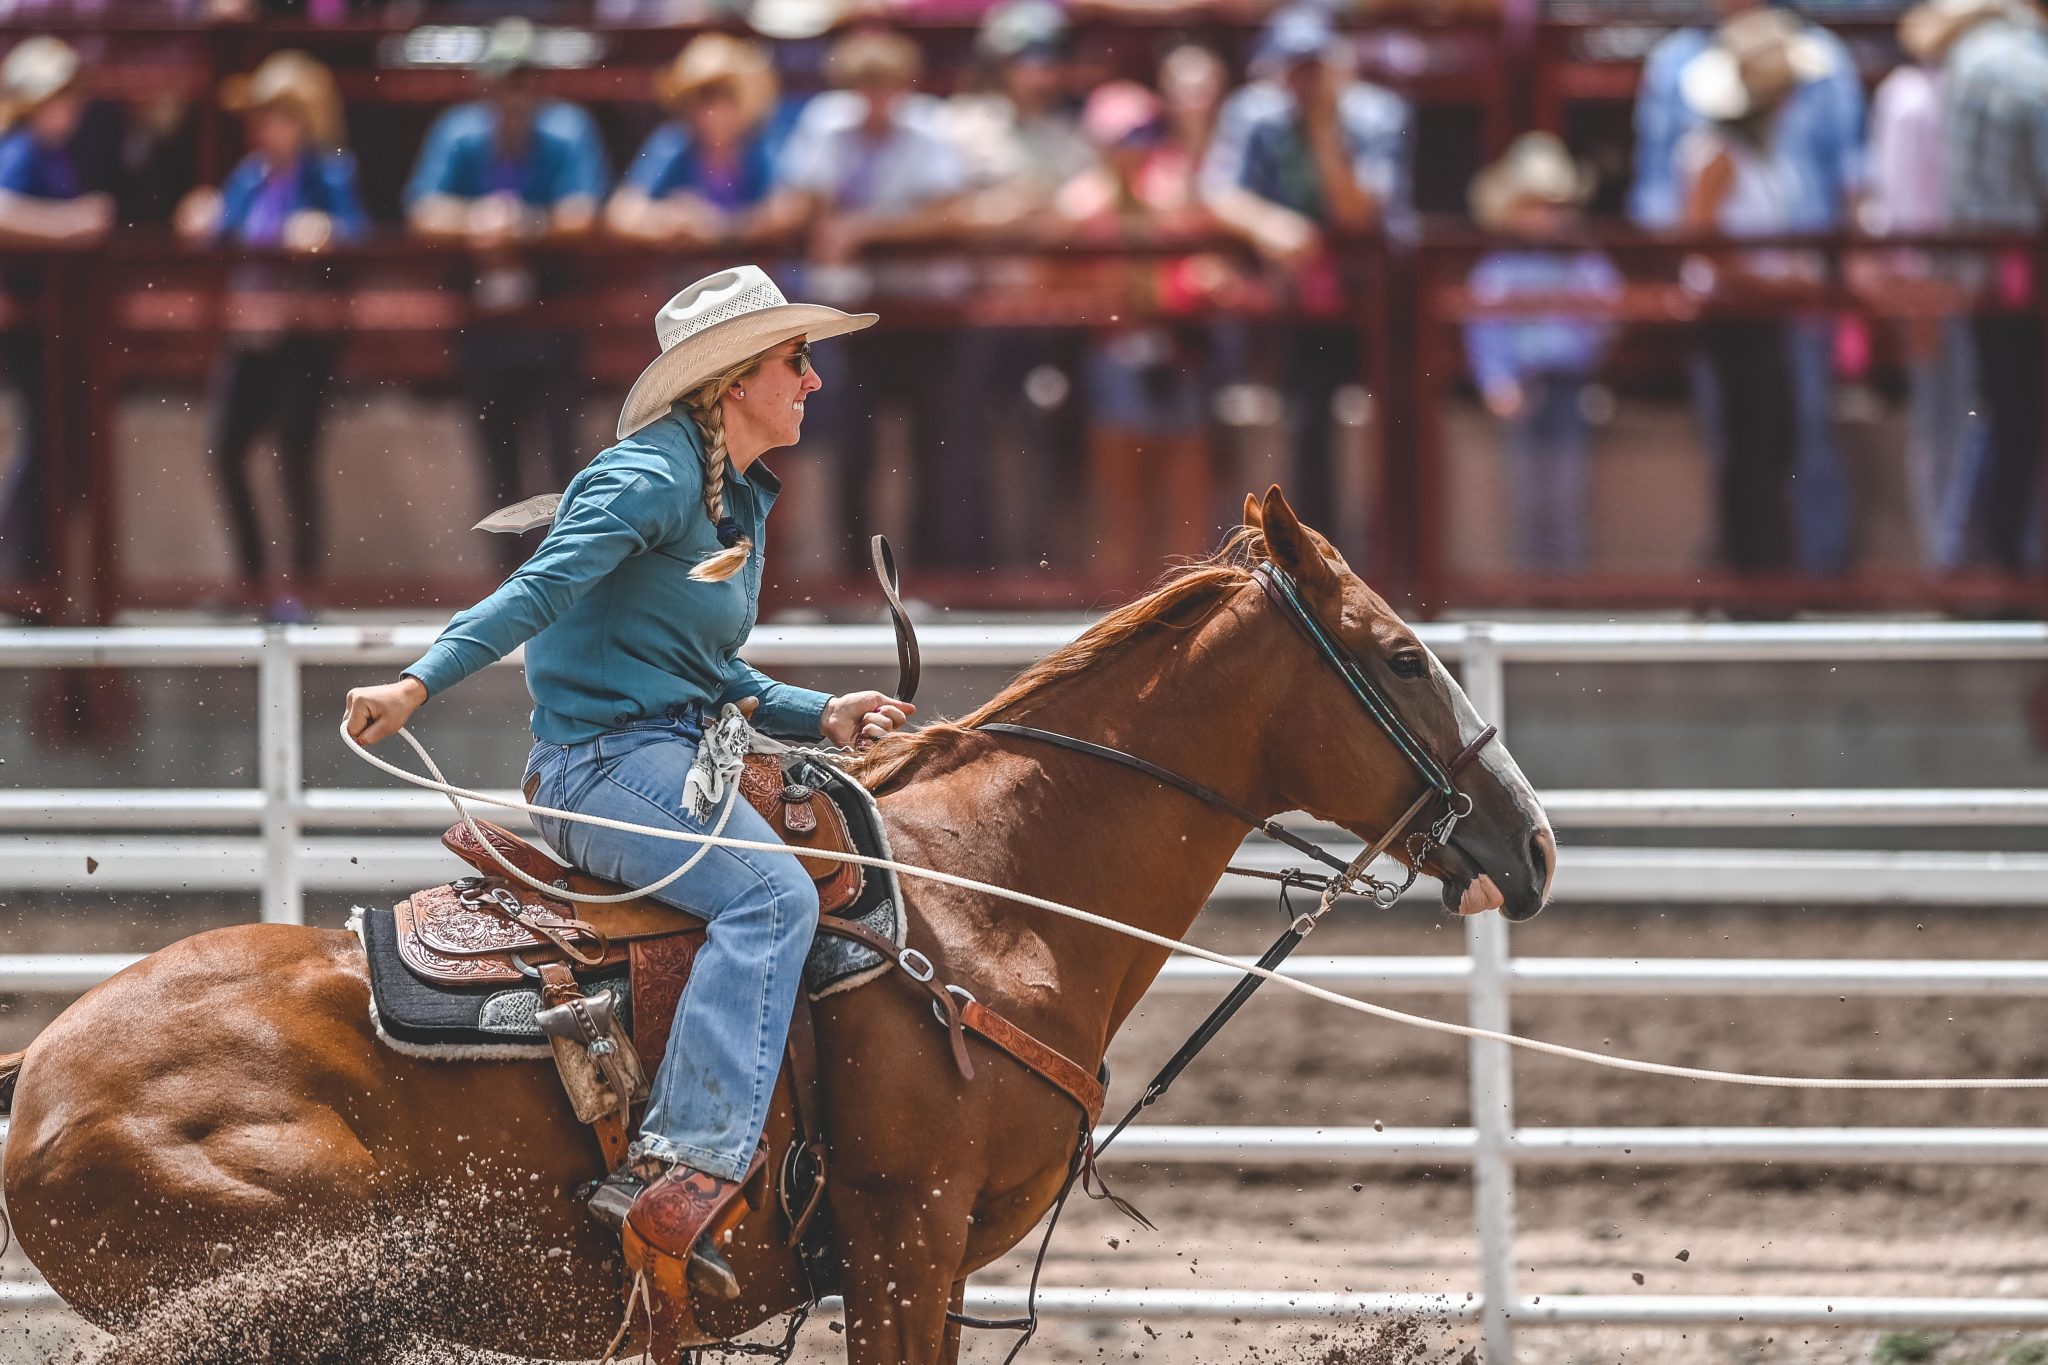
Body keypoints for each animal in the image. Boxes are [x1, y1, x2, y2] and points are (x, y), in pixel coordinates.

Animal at [0, 491, 1548, 1365]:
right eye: (1402, 654)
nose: (1526, 845)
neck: (987, 899)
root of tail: (40, 1074)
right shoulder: (903, 1237)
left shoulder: (928, 1261)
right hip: (296, 1295)